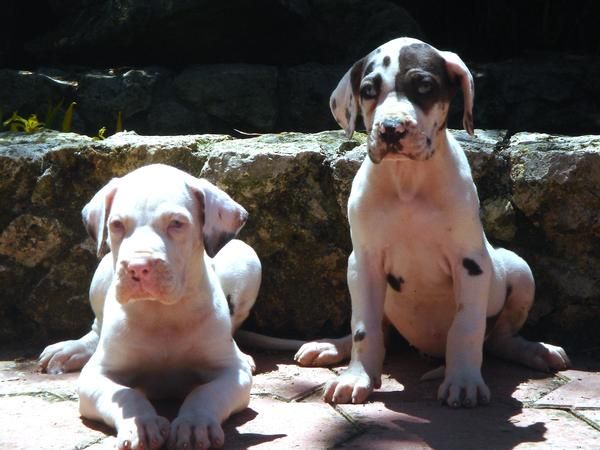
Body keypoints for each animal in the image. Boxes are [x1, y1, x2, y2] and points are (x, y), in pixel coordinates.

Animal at [39, 163, 260, 448]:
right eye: (117, 225)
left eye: (176, 224)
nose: (137, 268)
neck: (161, 312)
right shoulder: (96, 375)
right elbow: (126, 394)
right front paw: (141, 424)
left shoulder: (231, 372)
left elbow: (206, 392)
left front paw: (195, 424)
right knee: (97, 328)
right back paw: (71, 349)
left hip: (246, 256)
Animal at [296, 37, 572, 406]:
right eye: (368, 91)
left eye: (424, 86)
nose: (391, 129)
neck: (408, 182)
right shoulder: (364, 262)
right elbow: (364, 328)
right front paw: (358, 377)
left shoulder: (470, 263)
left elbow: (466, 328)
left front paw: (464, 382)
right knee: (377, 330)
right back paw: (329, 346)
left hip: (519, 271)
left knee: (500, 339)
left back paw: (536, 350)